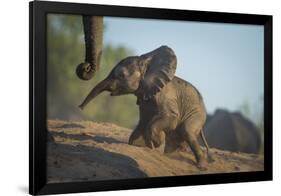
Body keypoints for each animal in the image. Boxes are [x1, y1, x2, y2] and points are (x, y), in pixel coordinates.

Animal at [78, 46, 212, 170]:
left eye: (122, 75)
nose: (80, 107)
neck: (147, 65)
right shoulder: (144, 99)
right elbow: (143, 121)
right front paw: (142, 145)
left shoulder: (165, 96)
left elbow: (169, 119)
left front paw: (156, 143)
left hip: (197, 114)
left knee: (187, 131)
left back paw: (201, 166)